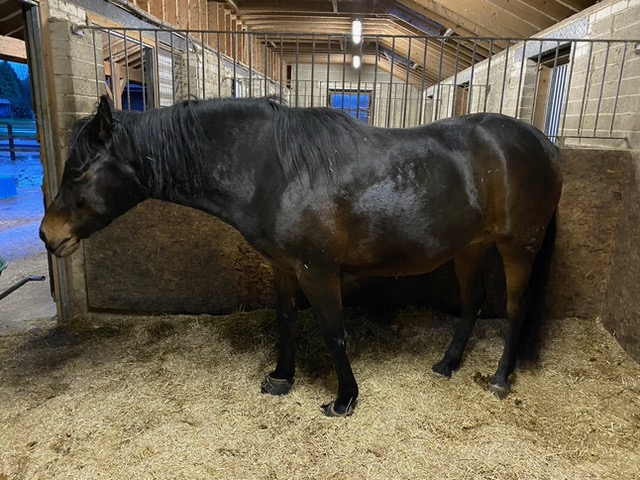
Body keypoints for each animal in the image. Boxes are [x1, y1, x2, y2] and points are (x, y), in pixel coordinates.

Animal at [40, 95, 562, 417]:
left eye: (81, 171)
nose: (48, 235)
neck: (273, 169)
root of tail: (542, 143)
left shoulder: (318, 271)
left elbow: (333, 332)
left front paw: (344, 400)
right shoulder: (284, 268)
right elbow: (288, 320)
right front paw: (281, 377)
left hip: (517, 247)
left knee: (514, 308)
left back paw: (500, 377)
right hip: (470, 248)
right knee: (473, 302)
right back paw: (447, 364)